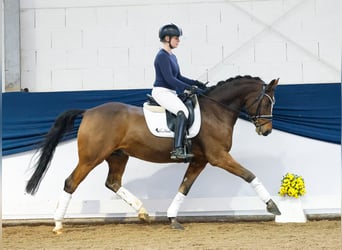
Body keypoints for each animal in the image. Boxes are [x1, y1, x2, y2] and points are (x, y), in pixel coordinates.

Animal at [24, 74, 280, 234]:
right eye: (267, 103)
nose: (266, 131)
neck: (215, 112)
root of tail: (89, 111)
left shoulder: (200, 160)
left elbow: (184, 187)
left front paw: (172, 218)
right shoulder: (218, 157)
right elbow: (249, 175)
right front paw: (273, 206)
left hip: (118, 156)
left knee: (113, 182)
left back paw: (143, 212)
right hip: (90, 158)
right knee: (71, 182)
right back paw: (58, 225)